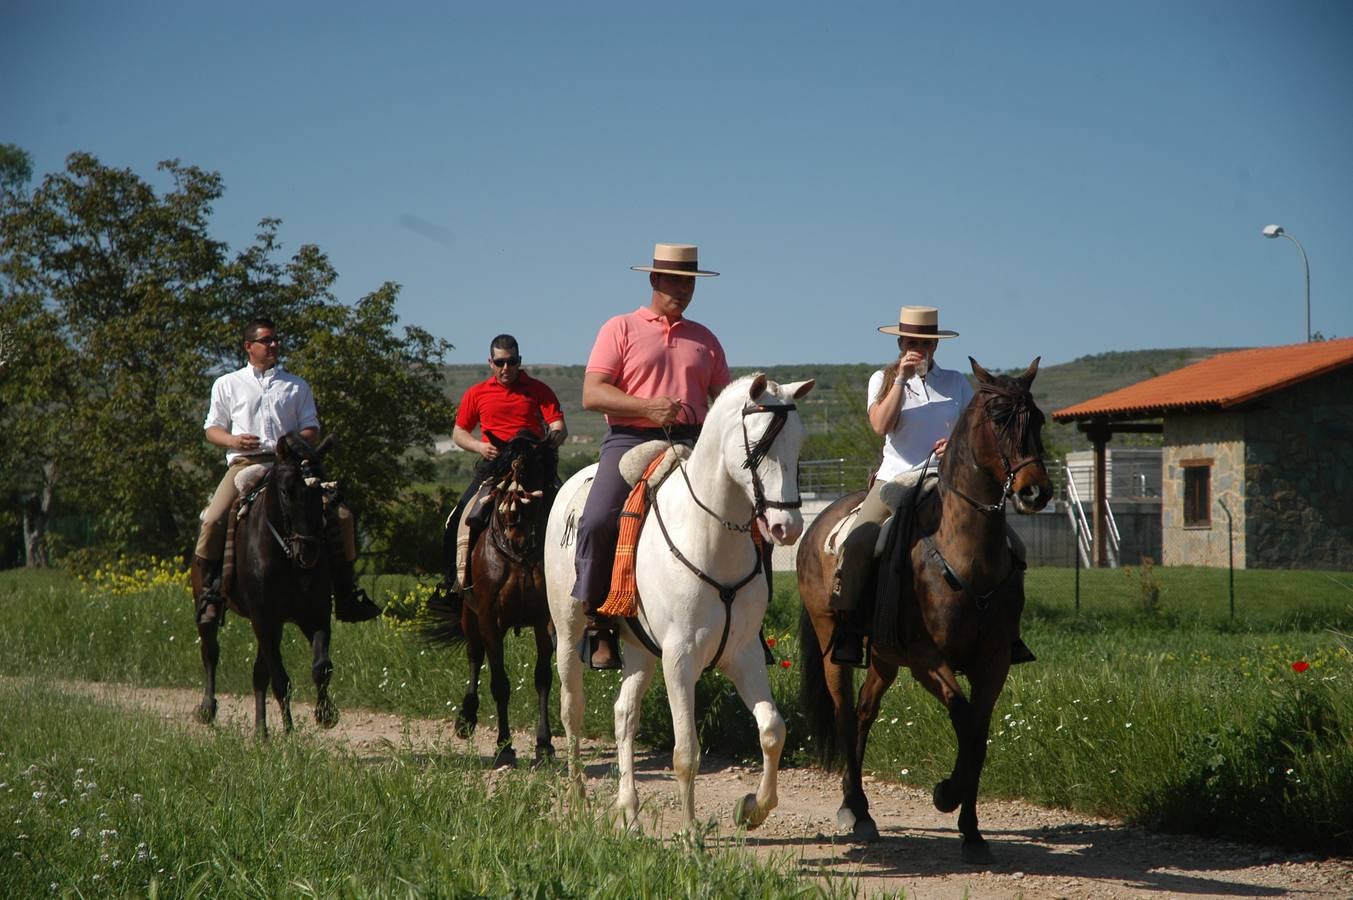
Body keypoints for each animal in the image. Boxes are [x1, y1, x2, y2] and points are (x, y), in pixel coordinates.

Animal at [194, 433, 343, 736]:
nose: (308, 551)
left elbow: (321, 666)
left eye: (321, 492)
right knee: (210, 653)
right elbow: (281, 679)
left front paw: (325, 714)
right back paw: (207, 708)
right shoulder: (263, 618)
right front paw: (289, 732)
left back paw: (261, 732)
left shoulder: (314, 614)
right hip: (213, 611)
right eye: (286, 491)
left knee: (258, 674)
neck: (286, 557)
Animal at [424, 430, 557, 763]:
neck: (518, 554)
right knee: (475, 656)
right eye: (504, 473)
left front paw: (544, 744)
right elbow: (500, 683)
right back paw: (466, 719)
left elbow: (542, 677)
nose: (514, 525)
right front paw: (504, 748)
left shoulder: (543, 619)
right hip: (469, 616)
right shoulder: (489, 618)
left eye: (535, 475)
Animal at [538, 370, 811, 828]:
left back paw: (629, 808)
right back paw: (577, 798)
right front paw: (690, 833)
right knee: (571, 710)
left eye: (799, 442)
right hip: (569, 632)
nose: (785, 526)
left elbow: (773, 731)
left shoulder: (744, 653)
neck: (709, 537)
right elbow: (686, 752)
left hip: (639, 648)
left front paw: (752, 808)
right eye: (758, 446)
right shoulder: (679, 658)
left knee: (624, 715)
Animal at [795, 354, 1049, 860]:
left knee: (864, 712)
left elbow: (978, 733)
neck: (965, 554)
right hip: (836, 645)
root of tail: (817, 527)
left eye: (1039, 420)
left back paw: (862, 809)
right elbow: (962, 714)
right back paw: (855, 810)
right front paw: (946, 794)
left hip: (884, 657)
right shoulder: (926, 659)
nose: (1037, 491)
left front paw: (972, 832)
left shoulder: (994, 662)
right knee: (844, 713)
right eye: (998, 418)